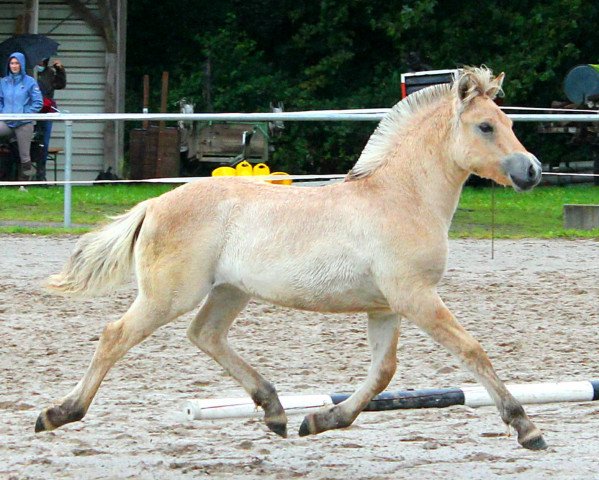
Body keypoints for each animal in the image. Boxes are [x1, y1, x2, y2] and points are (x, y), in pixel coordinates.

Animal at [32, 66, 548, 450]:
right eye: (485, 126)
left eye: (511, 124)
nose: (533, 171)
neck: (400, 196)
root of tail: (154, 204)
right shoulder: (415, 298)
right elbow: (471, 350)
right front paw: (526, 427)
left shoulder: (386, 307)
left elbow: (382, 373)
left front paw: (321, 420)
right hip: (169, 295)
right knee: (115, 335)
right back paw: (58, 413)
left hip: (228, 292)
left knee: (205, 334)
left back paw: (276, 411)